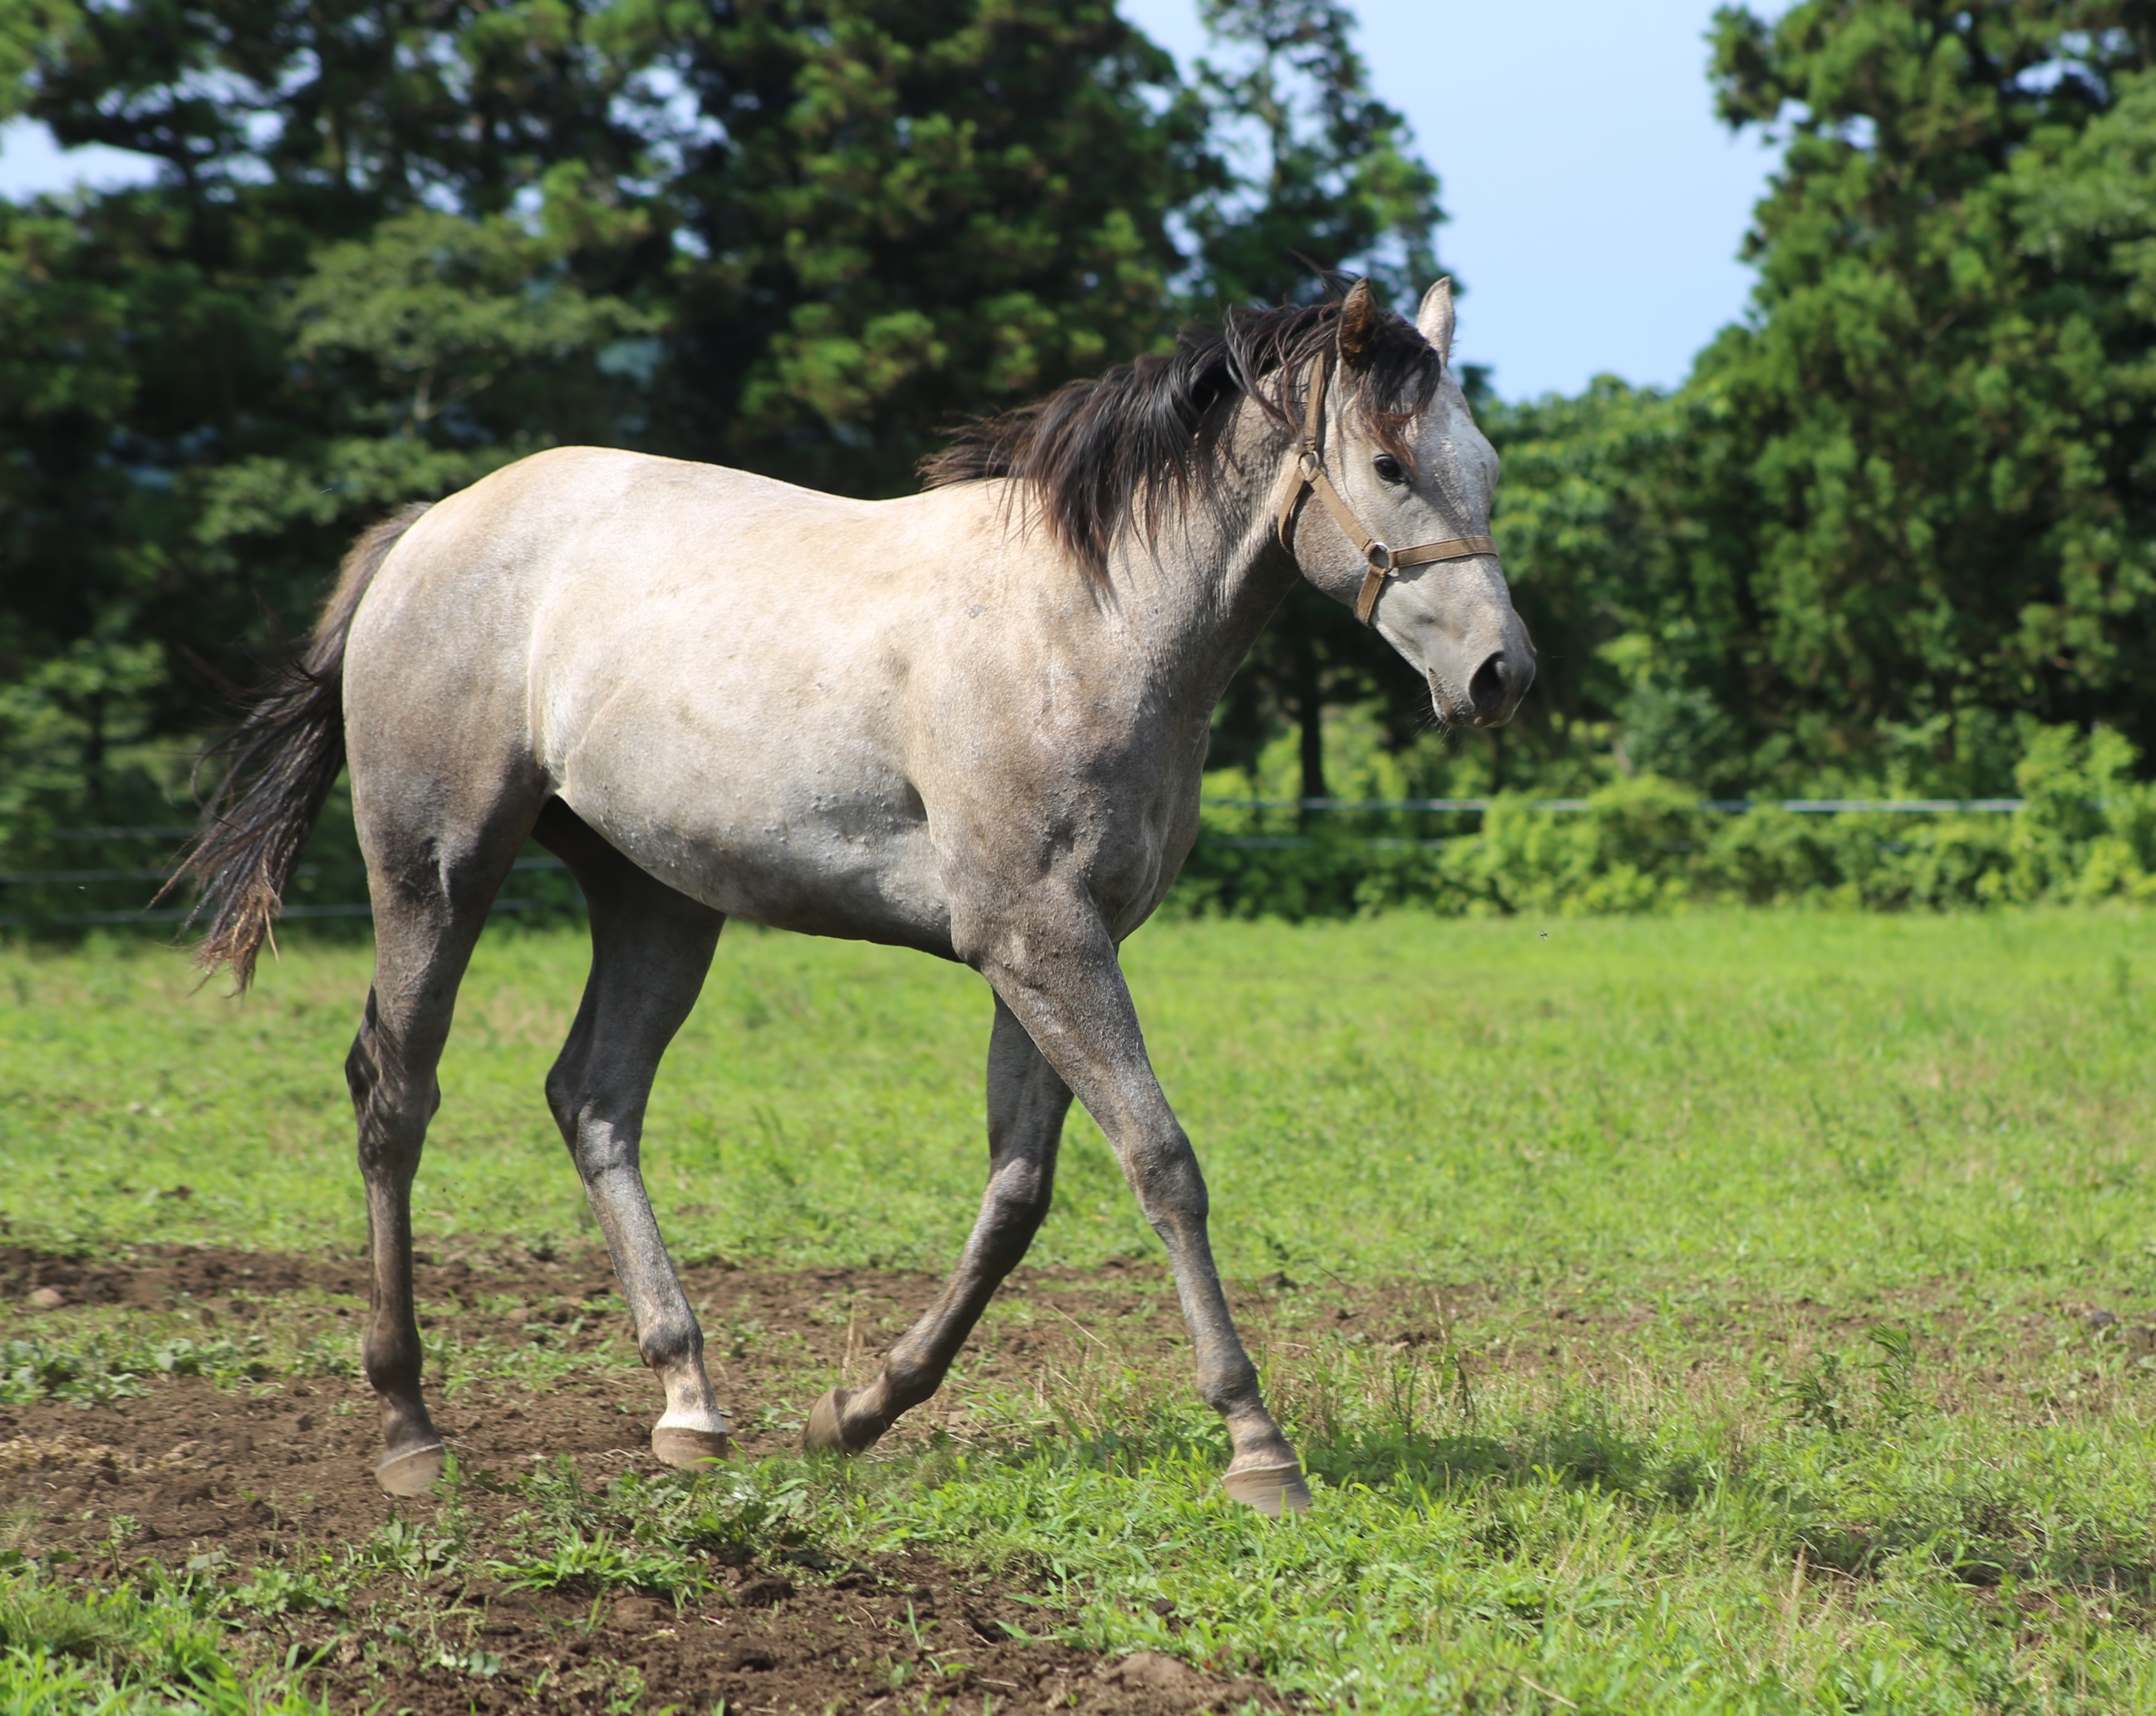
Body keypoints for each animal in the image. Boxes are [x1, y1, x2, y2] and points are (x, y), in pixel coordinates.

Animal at [172, 278, 1535, 1517]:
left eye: (1482, 467)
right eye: (1388, 462)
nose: (1500, 673)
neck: (1086, 620)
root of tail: (428, 529)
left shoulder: (1048, 947)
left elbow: (1017, 1191)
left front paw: (859, 1410)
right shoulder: (1041, 939)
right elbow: (1160, 1161)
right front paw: (1257, 1443)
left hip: (658, 901)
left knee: (593, 1100)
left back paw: (689, 1404)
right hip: (436, 871)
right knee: (395, 1095)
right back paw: (409, 1422)